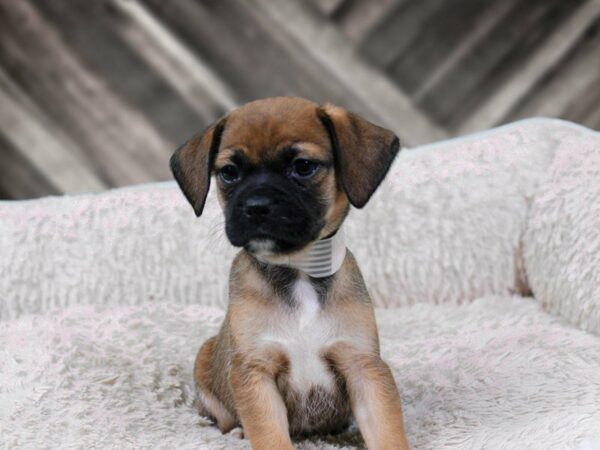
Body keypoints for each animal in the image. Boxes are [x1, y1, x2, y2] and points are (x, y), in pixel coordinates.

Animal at [171, 96, 410, 448]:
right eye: (229, 173)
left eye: (303, 166)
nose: (256, 207)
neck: (298, 269)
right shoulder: (255, 372)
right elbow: (270, 436)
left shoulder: (363, 367)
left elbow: (387, 432)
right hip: (206, 360)